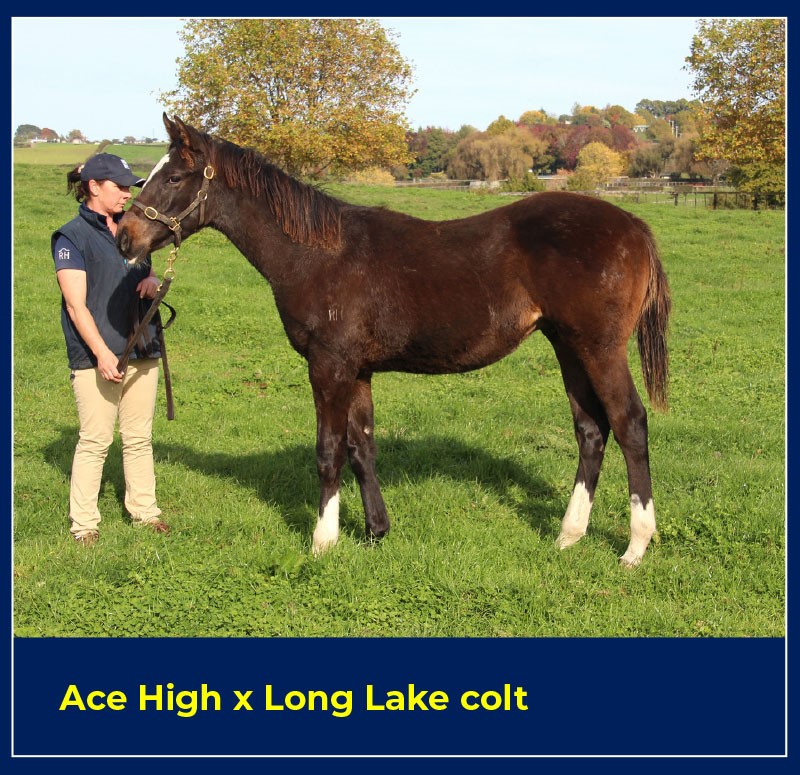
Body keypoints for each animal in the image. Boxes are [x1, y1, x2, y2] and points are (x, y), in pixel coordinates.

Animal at [117, 114, 671, 567]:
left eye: (173, 176)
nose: (125, 237)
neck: (318, 255)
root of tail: (635, 225)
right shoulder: (358, 369)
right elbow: (362, 447)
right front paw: (376, 532)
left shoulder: (328, 366)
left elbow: (329, 450)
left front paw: (322, 541)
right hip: (567, 346)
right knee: (591, 430)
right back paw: (568, 535)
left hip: (600, 349)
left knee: (629, 424)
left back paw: (635, 545)